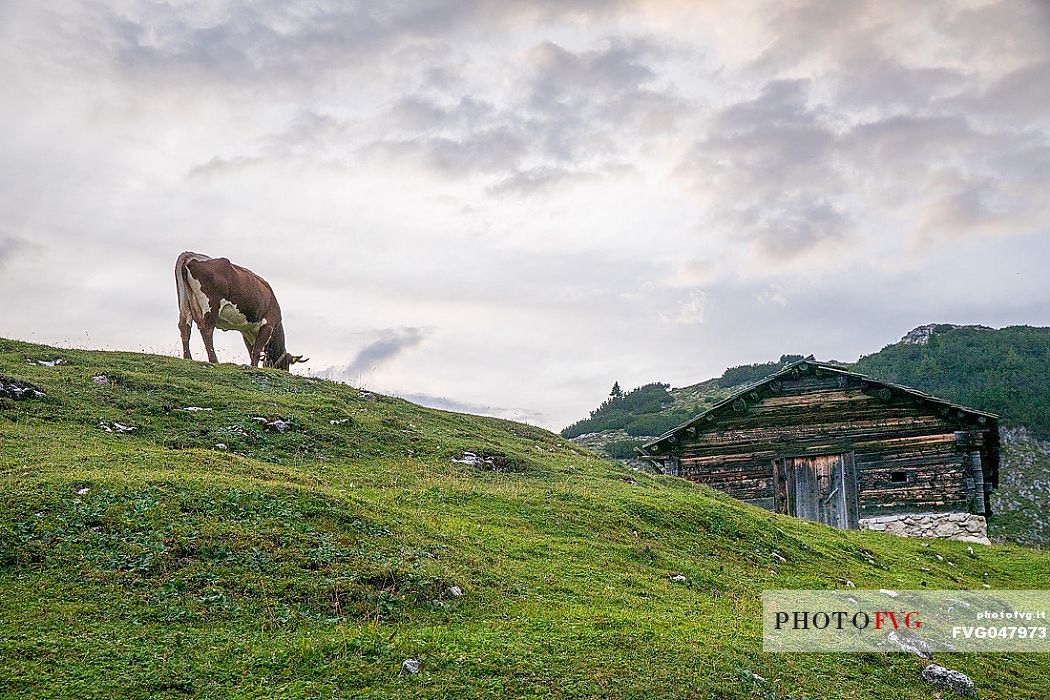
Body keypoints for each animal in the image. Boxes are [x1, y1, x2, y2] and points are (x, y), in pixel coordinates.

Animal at [174, 252, 306, 371]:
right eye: (287, 363)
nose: (285, 371)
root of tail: (190, 255)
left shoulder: (246, 331)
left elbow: (251, 350)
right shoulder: (268, 324)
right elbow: (256, 350)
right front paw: (254, 366)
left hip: (184, 302)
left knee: (184, 326)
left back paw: (187, 357)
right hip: (211, 305)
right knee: (207, 329)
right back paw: (214, 360)